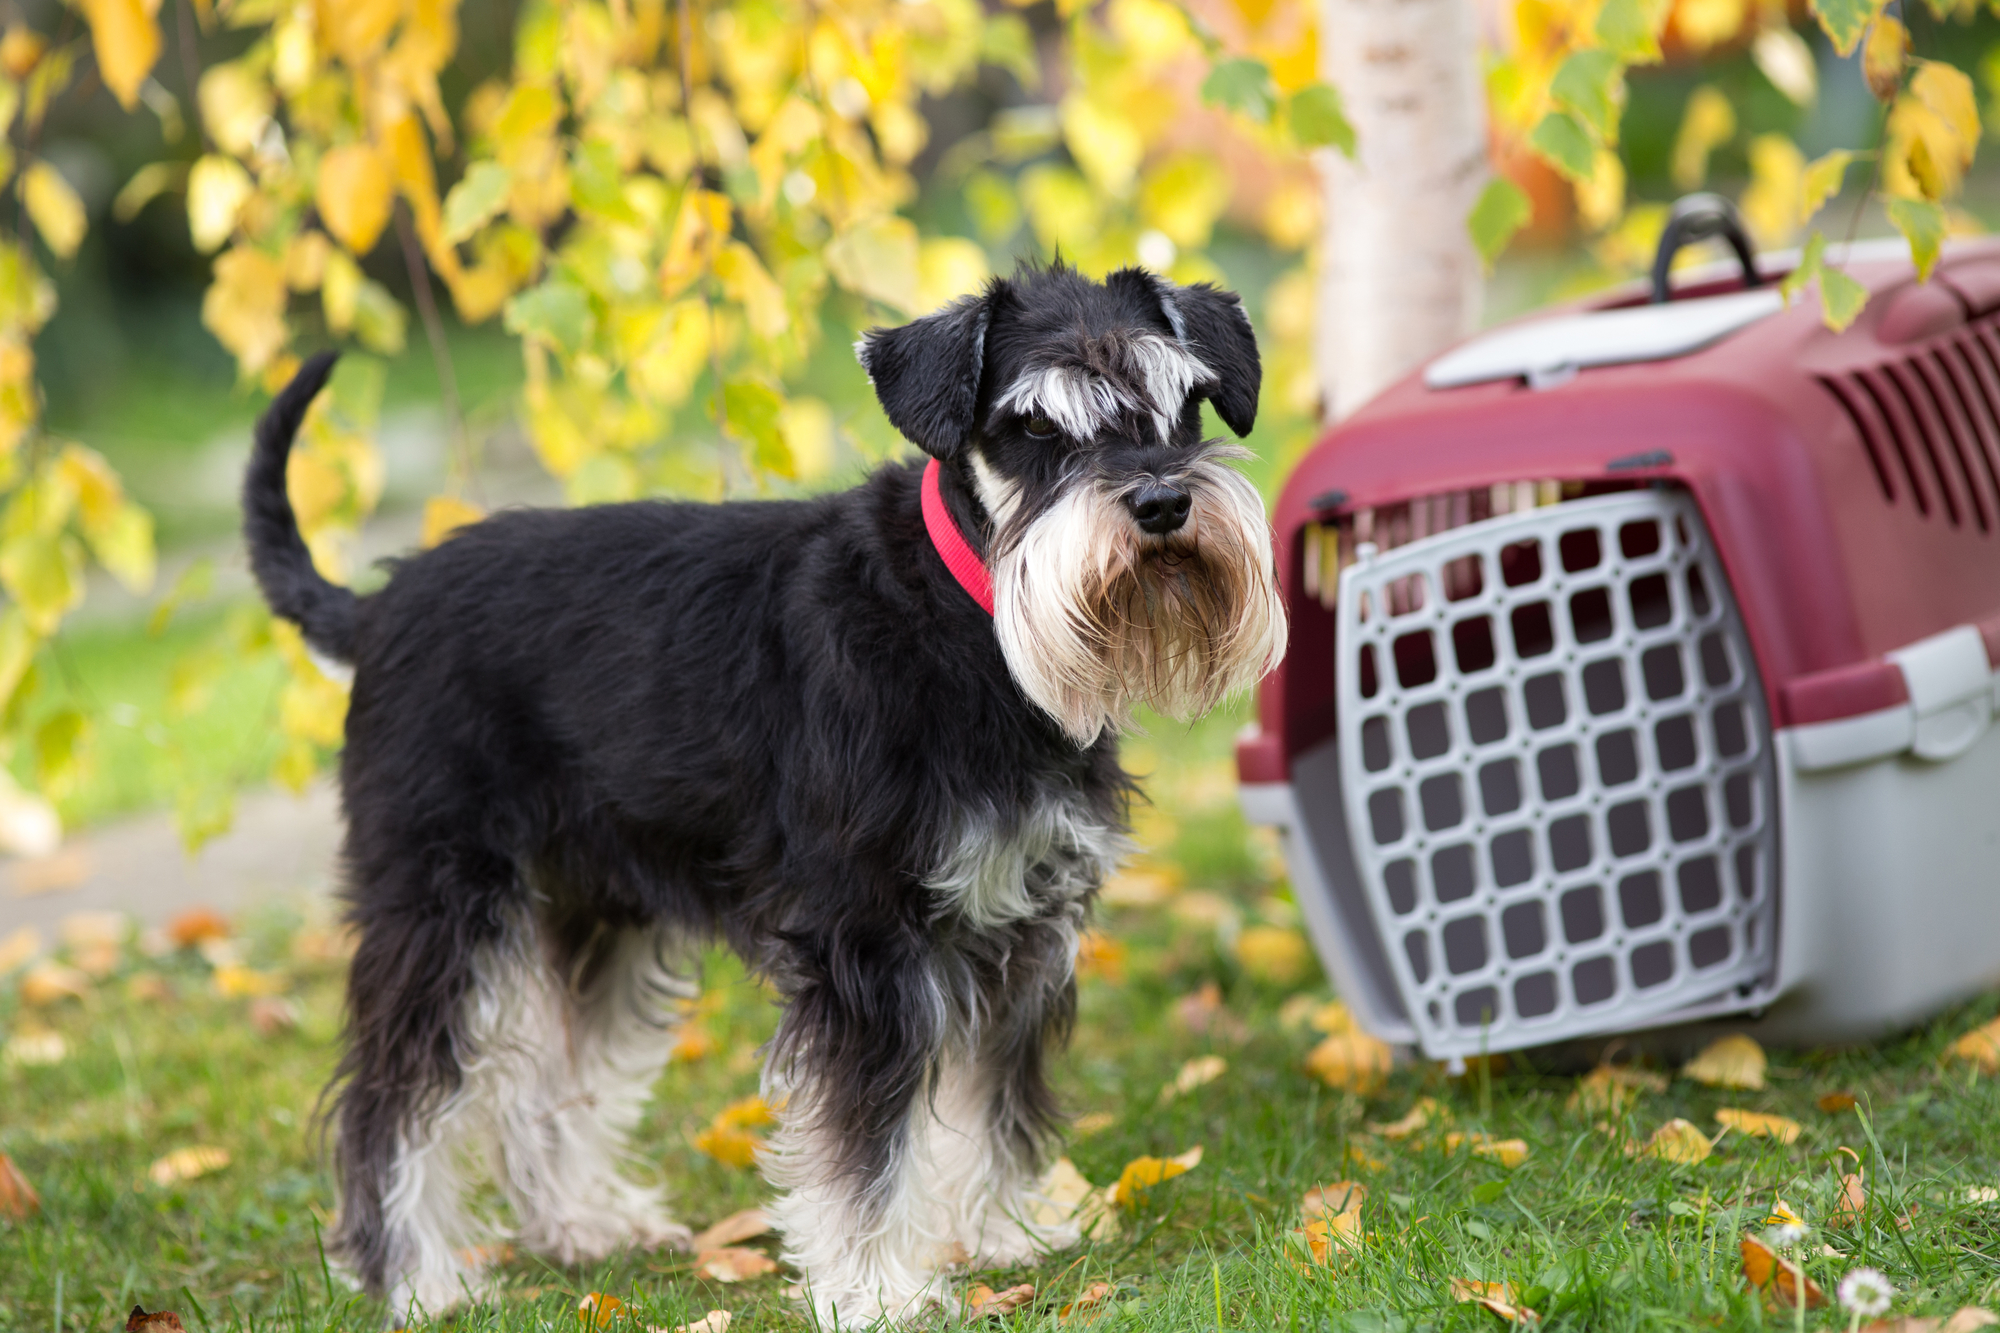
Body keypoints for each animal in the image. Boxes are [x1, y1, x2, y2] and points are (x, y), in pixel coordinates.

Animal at [242, 260, 1288, 1320]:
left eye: (1184, 403)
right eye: (1035, 427)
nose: (1160, 503)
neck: (971, 619)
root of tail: (377, 608)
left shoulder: (1024, 922)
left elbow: (997, 1098)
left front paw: (1000, 1234)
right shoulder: (865, 944)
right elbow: (868, 1144)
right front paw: (875, 1292)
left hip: (598, 907)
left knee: (551, 1083)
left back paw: (583, 1225)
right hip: (439, 903)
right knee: (392, 1098)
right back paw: (416, 1279)